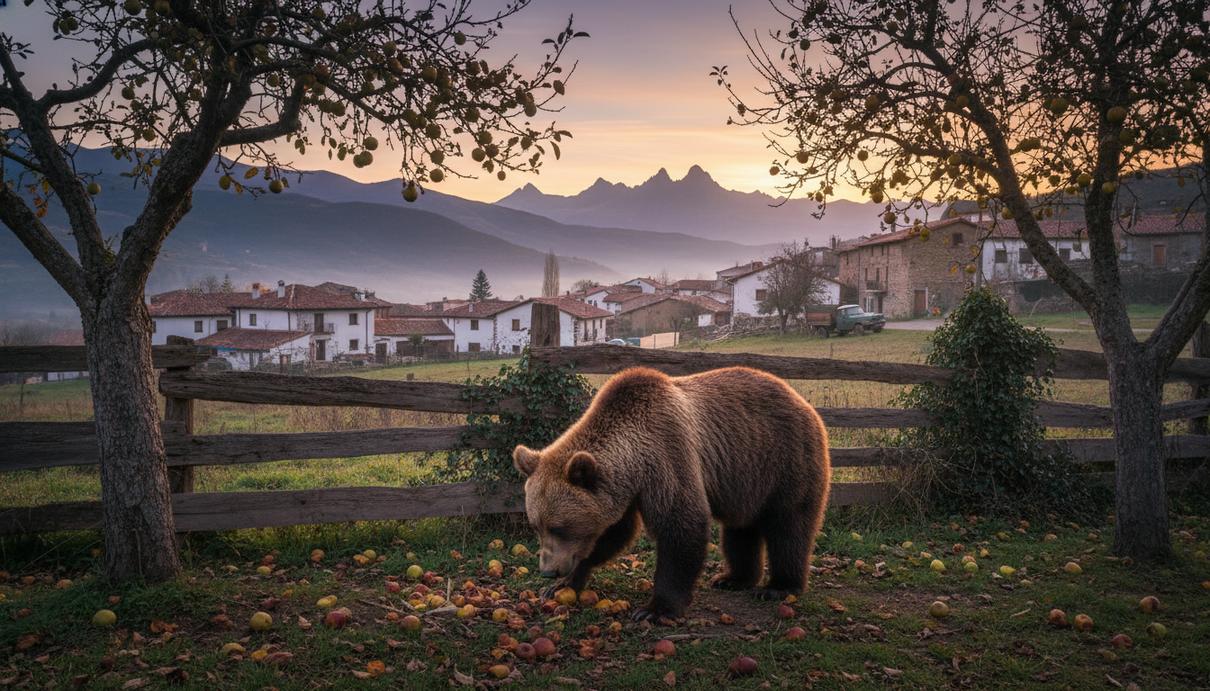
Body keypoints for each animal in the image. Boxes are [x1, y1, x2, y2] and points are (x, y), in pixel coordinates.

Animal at [512, 365, 831, 622]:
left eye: (559, 527)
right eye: (536, 526)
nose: (548, 570)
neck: (633, 459)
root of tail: (803, 401)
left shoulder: (666, 455)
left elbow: (681, 525)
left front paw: (655, 609)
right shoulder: (622, 490)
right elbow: (613, 534)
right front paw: (562, 585)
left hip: (786, 458)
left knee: (789, 524)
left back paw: (779, 586)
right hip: (745, 476)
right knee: (741, 527)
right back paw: (734, 578)